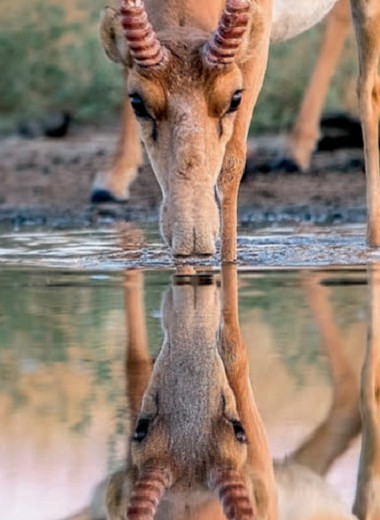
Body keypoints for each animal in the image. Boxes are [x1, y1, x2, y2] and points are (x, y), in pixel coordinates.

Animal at [93, 0, 380, 260]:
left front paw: (229, 260)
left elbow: (231, 163)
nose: (192, 237)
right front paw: (112, 181)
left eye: (235, 98)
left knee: (367, 90)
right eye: (137, 101)